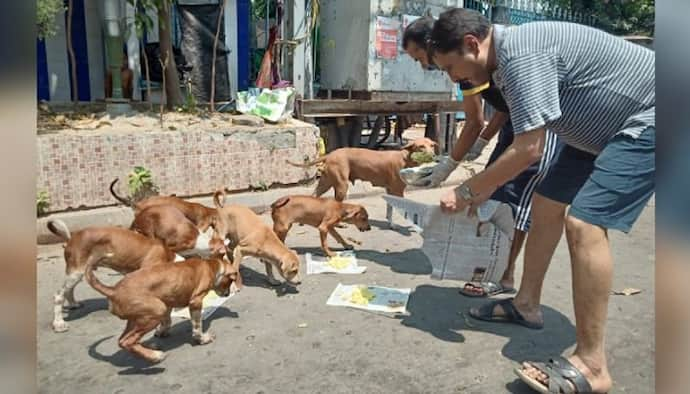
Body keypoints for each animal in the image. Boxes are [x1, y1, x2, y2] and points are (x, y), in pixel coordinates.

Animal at [46, 220, 175, 330]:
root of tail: (73, 237)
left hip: (76, 273)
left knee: (68, 290)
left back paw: (73, 304)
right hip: (76, 273)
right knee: (58, 295)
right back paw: (59, 323)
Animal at [84, 255, 236, 364]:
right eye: (230, 281)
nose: (227, 294)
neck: (211, 266)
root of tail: (113, 290)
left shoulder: (168, 303)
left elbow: (167, 321)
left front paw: (162, 331)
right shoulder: (195, 302)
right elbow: (197, 325)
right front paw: (202, 339)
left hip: (137, 318)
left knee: (124, 340)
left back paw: (148, 349)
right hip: (156, 310)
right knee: (126, 341)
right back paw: (154, 356)